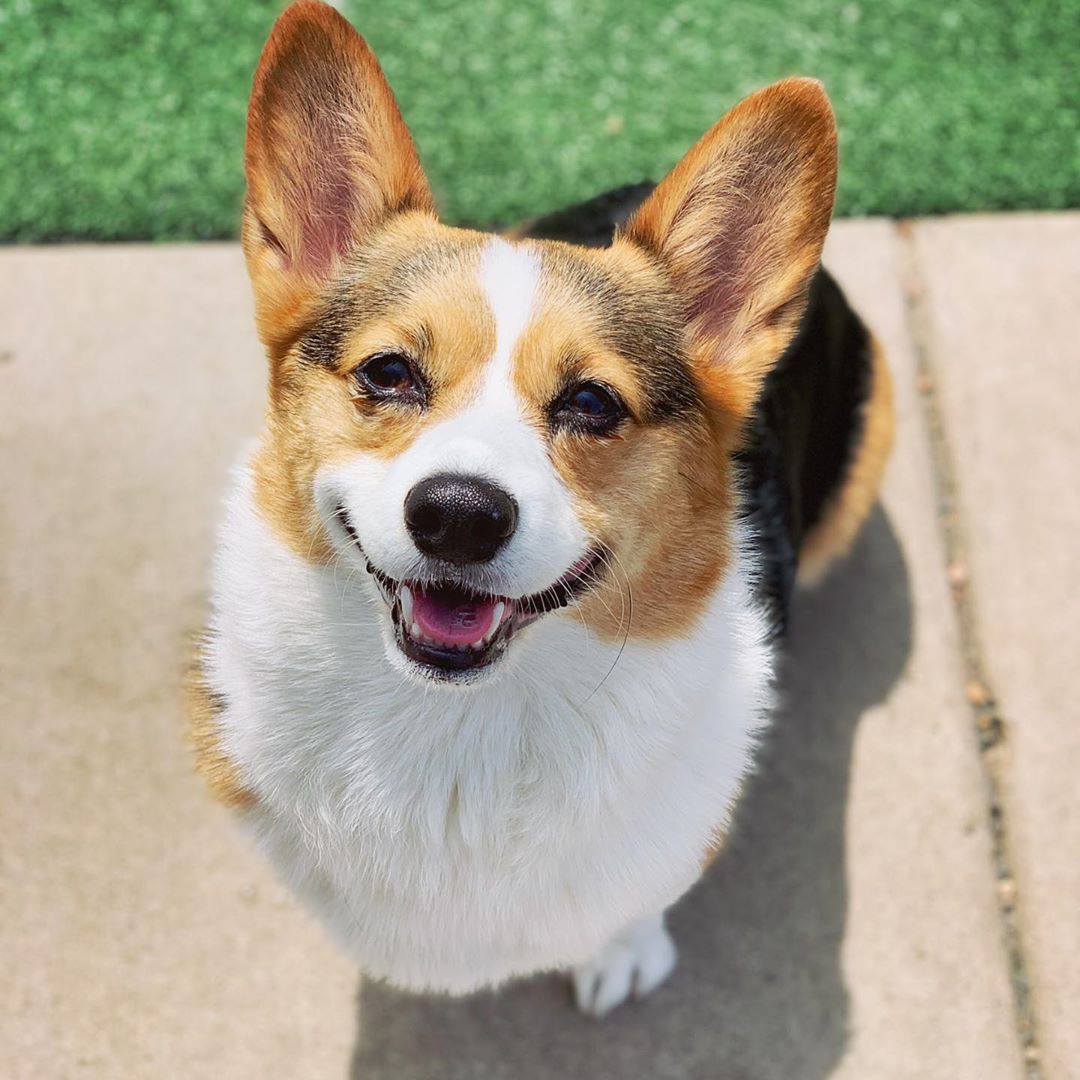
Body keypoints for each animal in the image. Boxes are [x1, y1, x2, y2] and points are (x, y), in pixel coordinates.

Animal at [187, 0, 894, 1015]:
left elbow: (641, 900)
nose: (458, 515)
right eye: (388, 372)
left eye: (593, 402)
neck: (455, 730)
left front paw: (623, 953)